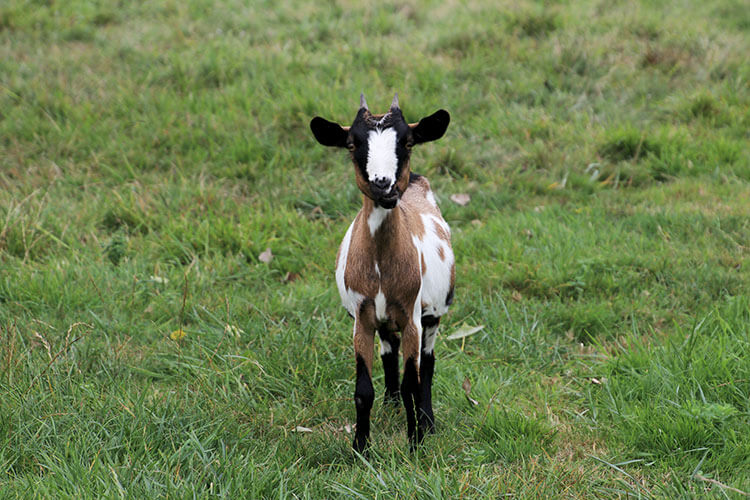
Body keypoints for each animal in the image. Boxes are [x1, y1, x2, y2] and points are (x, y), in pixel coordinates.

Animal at [310, 94, 456, 454]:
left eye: (408, 141)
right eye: (352, 145)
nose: (383, 185)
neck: (379, 268)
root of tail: (417, 181)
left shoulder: (412, 316)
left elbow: (412, 384)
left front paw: (415, 443)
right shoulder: (361, 318)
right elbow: (363, 390)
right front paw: (360, 447)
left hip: (432, 315)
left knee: (428, 365)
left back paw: (427, 421)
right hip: (384, 318)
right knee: (389, 350)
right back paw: (390, 405)